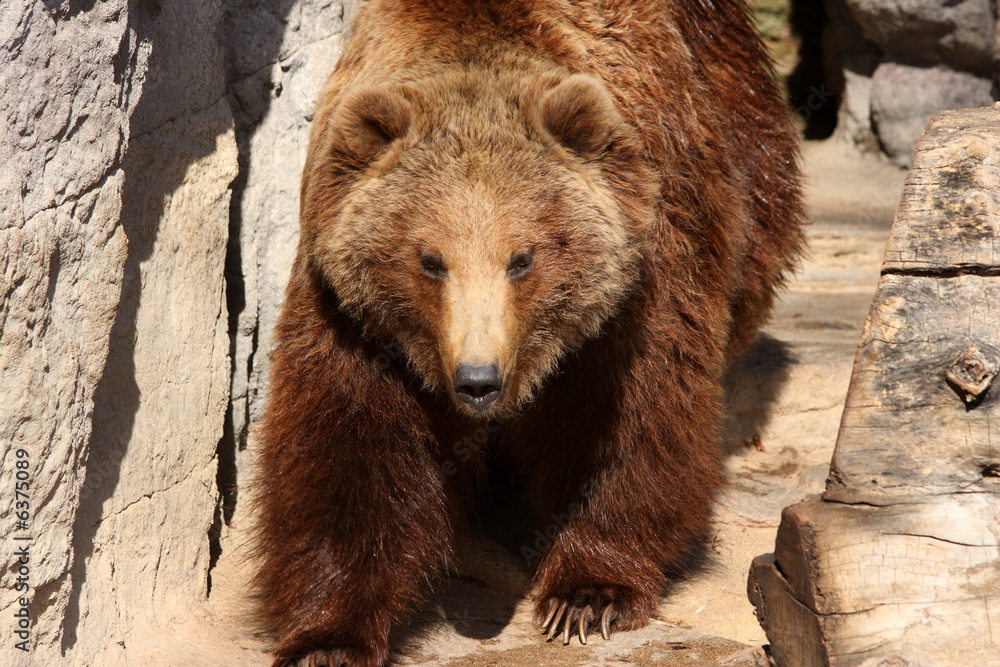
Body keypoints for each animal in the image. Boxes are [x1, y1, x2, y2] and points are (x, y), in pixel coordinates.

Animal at [252, 1, 805, 665]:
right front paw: (328, 638)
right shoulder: (353, 311)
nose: (478, 379)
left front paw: (588, 593)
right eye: (430, 260)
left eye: (523, 257)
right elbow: (347, 445)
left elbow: (627, 418)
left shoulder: (640, 275)